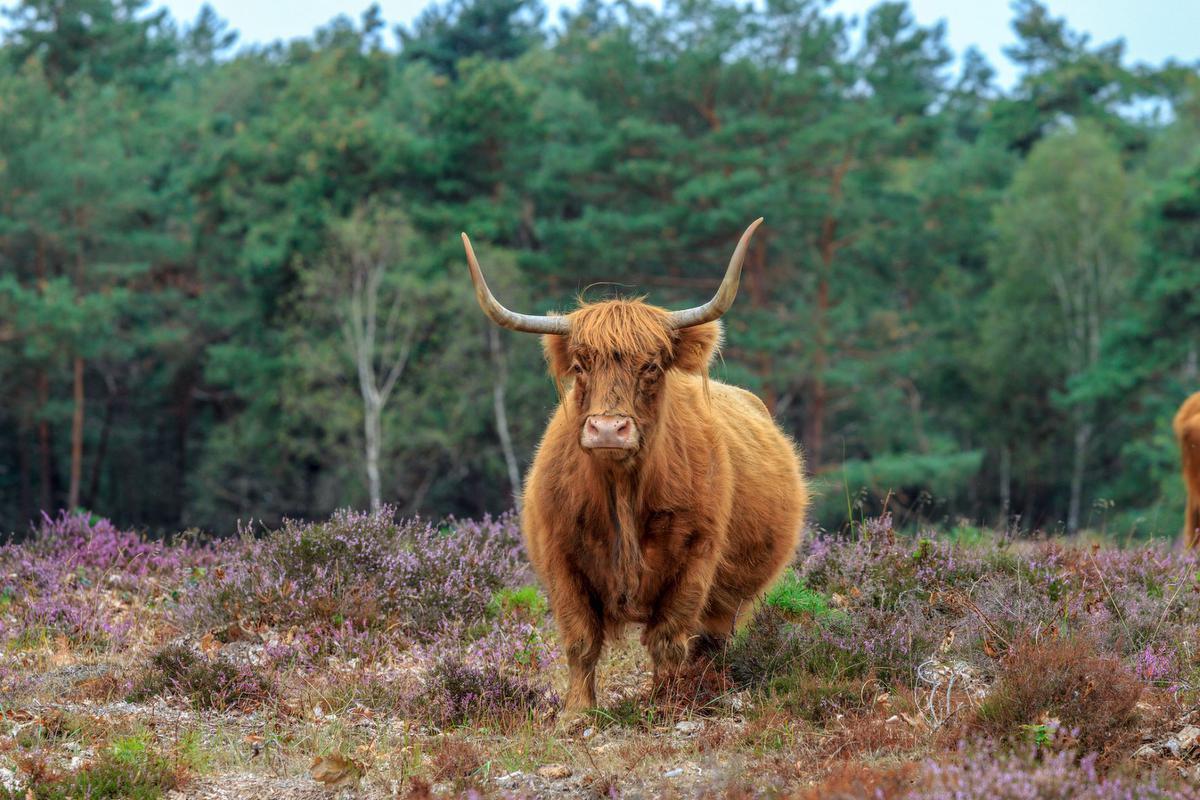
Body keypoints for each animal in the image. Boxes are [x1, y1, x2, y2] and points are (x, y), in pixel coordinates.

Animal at [463, 219, 811, 714]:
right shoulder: (560, 556)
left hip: (732, 595)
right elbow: (580, 640)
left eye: (652, 366)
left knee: (713, 639)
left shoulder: (696, 557)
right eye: (580, 365)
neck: (622, 489)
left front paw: (664, 704)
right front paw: (576, 712)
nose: (609, 429)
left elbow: (668, 638)